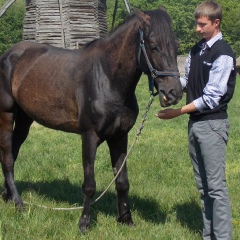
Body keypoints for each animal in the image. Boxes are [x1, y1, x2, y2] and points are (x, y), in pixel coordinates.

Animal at [0, 7, 182, 232]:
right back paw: (18, 203)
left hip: (25, 119)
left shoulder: (119, 137)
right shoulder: (89, 137)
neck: (107, 78)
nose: (174, 93)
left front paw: (126, 219)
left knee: (14, 152)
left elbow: (122, 181)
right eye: (154, 46)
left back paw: (7, 196)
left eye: (176, 44)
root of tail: (9, 54)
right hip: (7, 114)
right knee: (7, 157)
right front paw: (84, 223)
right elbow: (89, 184)